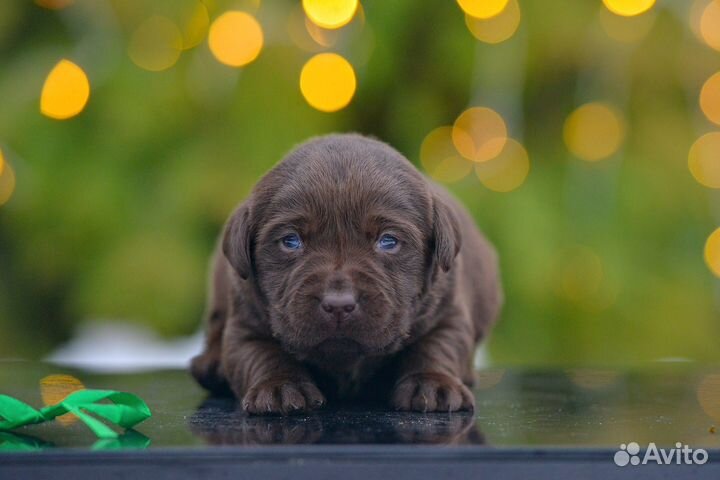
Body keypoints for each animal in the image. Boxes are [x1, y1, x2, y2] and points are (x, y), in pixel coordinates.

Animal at [194, 133, 504, 414]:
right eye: (291, 241)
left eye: (388, 241)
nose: (339, 305)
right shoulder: (245, 322)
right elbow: (260, 352)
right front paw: (280, 387)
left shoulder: (448, 311)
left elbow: (437, 346)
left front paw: (432, 384)